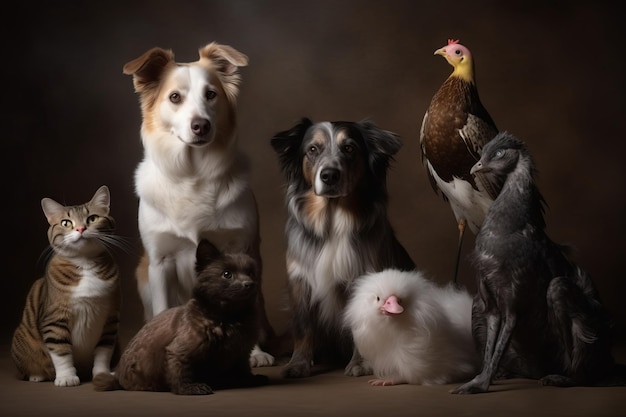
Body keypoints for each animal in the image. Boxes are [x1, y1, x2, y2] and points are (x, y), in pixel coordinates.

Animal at [11, 185, 122, 386]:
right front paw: (66, 377)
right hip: (22, 337)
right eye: (66, 223)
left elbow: (103, 351)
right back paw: (37, 375)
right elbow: (61, 351)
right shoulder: (54, 318)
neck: (85, 264)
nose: (80, 228)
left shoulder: (111, 319)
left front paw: (102, 373)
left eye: (92, 218)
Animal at [92, 239, 266, 392]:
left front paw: (248, 379)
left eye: (251, 273)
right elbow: (180, 372)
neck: (229, 317)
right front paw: (189, 388)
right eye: (227, 274)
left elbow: (243, 368)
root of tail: (117, 377)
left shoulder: (241, 352)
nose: (249, 284)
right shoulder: (179, 351)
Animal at [123, 42, 274, 366]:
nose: (201, 126)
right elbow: (163, 309)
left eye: (211, 94)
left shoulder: (242, 248)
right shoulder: (159, 261)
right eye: (174, 97)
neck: (192, 175)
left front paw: (255, 353)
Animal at [270, 116, 412, 376]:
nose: (329, 175)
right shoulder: (300, 281)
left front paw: (360, 363)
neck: (332, 223)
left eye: (349, 148)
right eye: (312, 150)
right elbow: (303, 327)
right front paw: (298, 363)